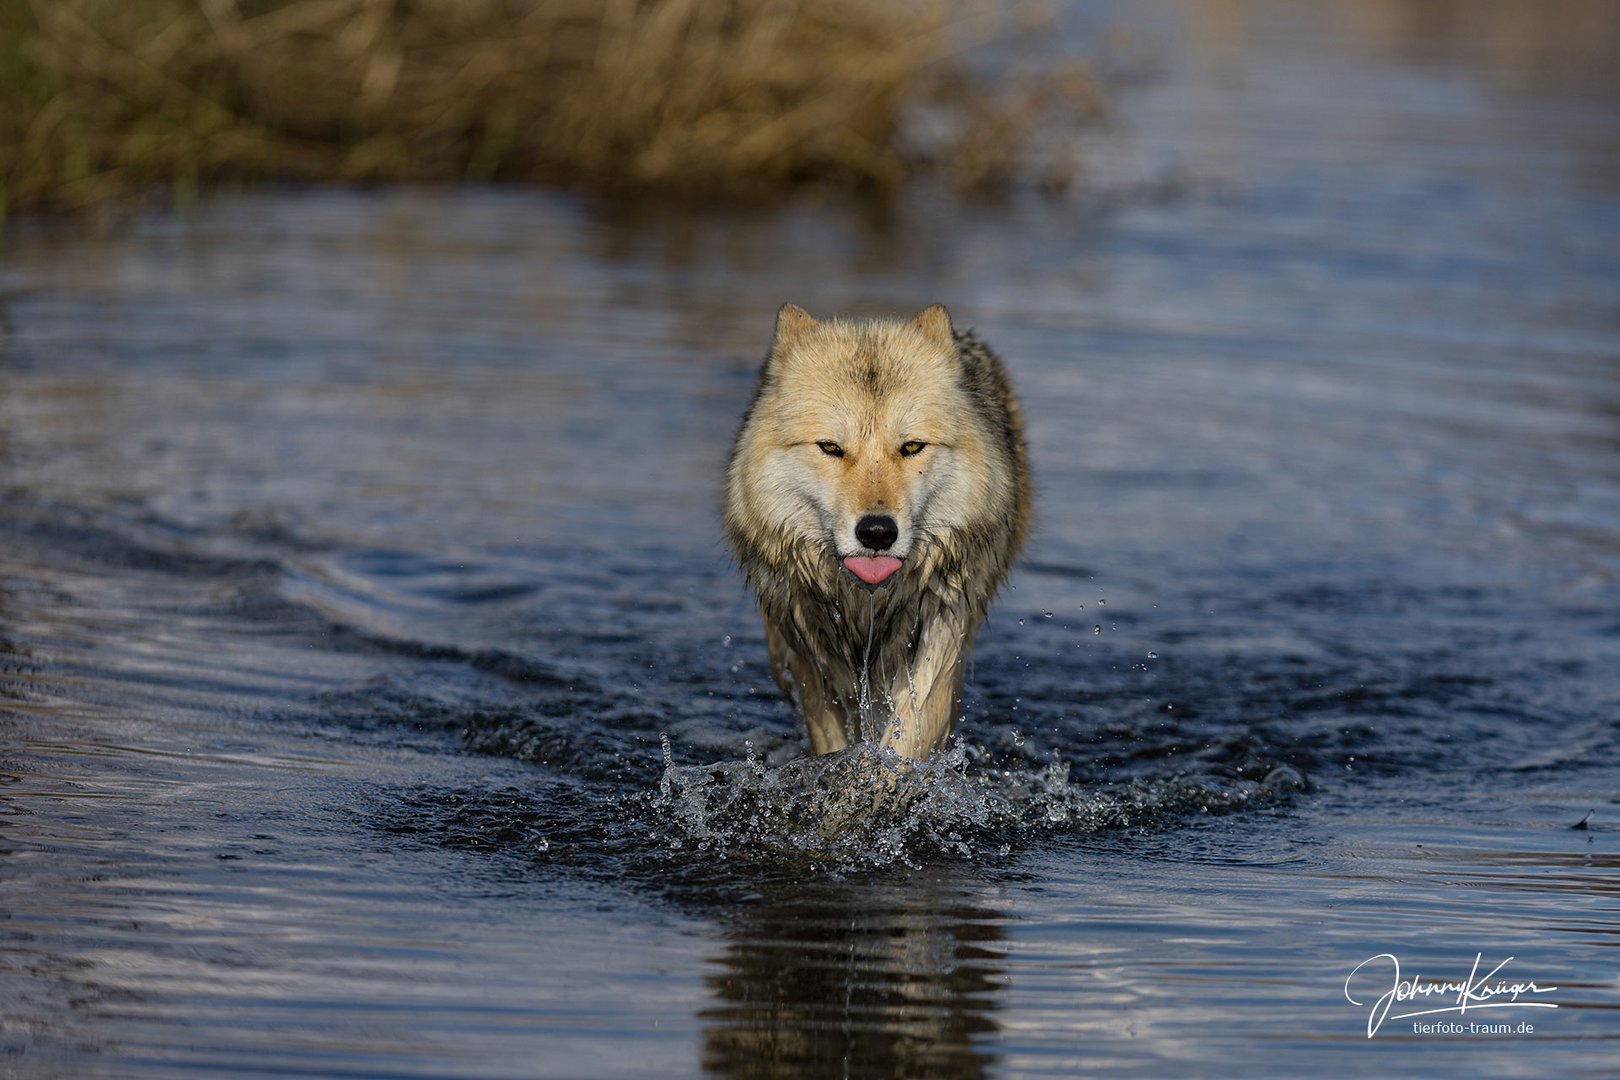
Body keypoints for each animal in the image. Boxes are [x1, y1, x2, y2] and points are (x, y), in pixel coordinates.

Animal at [729, 304, 1030, 761]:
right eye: (831, 448)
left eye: (912, 447)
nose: (876, 533)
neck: (863, 604)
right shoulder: (811, 650)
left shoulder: (943, 627)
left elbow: (905, 742)